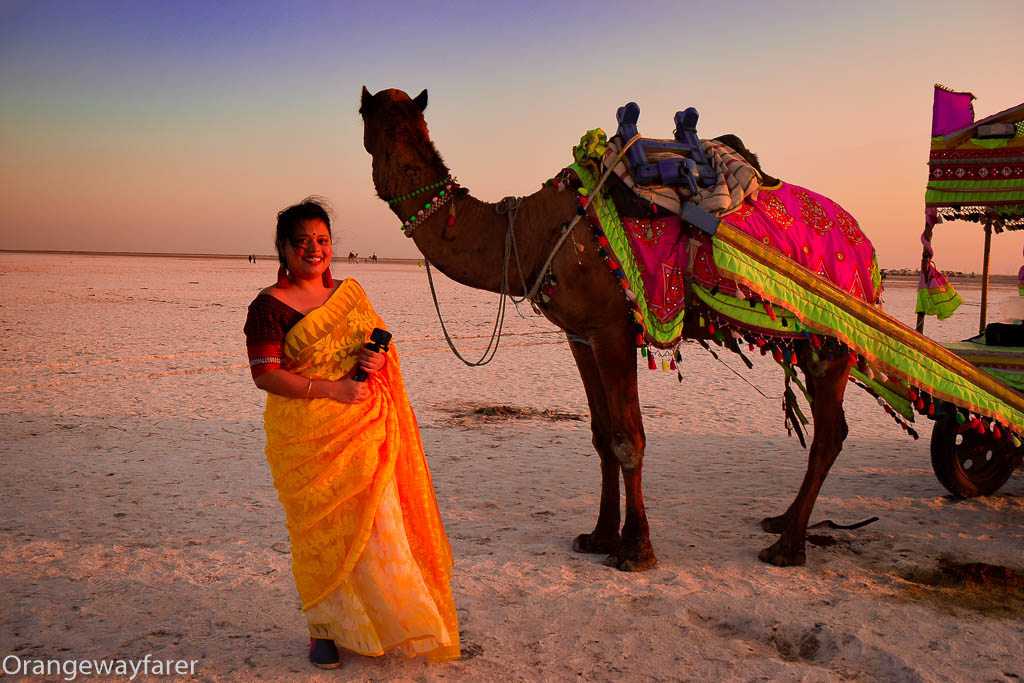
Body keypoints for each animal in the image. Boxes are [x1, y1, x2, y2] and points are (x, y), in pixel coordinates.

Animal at [360, 87, 856, 573]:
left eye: (365, 113)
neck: (528, 231)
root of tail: (862, 241)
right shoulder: (580, 335)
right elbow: (601, 436)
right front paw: (599, 536)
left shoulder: (613, 328)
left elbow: (627, 437)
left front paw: (635, 549)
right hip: (809, 346)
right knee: (830, 429)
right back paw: (783, 522)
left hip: (832, 343)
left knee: (828, 434)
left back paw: (787, 547)